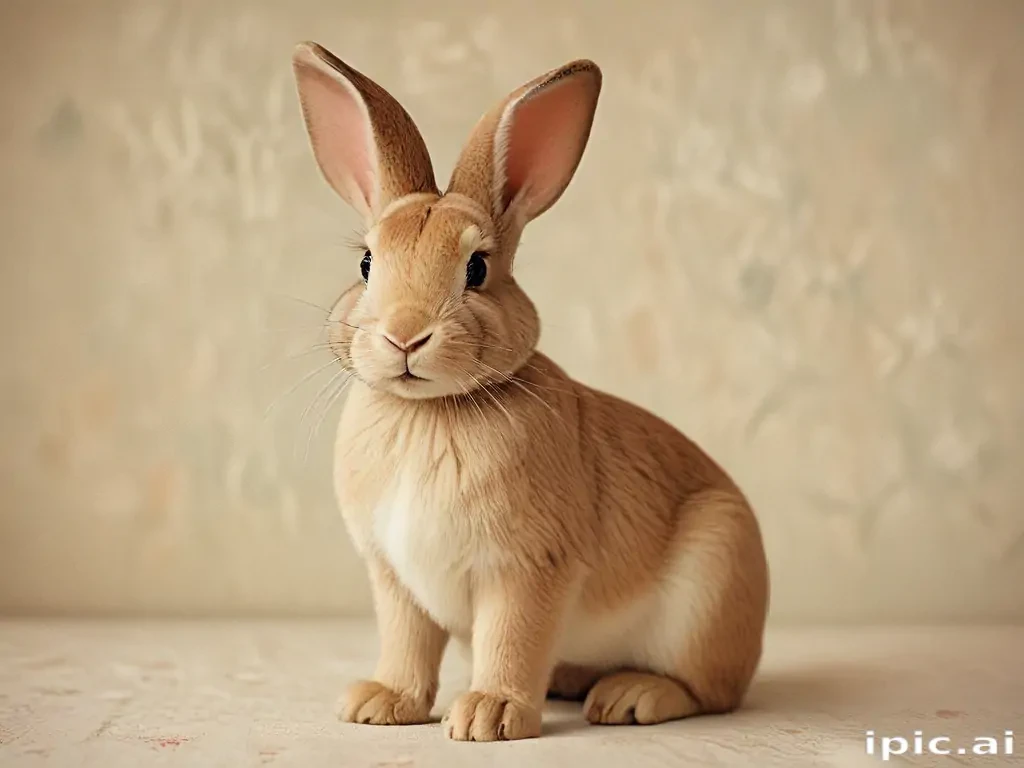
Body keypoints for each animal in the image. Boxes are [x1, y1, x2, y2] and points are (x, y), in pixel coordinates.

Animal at [291, 41, 769, 742]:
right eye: (366, 263)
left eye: (477, 268)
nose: (405, 335)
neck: (432, 411)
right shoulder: (396, 579)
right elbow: (408, 645)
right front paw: (380, 704)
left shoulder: (527, 569)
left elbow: (511, 641)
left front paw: (488, 716)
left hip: (711, 586)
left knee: (711, 691)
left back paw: (631, 697)